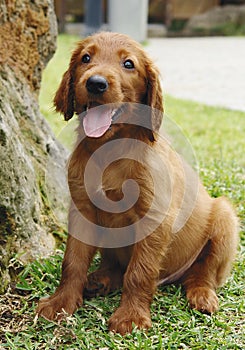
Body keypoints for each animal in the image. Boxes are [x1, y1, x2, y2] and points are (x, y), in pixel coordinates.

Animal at [36, 31, 239, 334]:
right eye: (86, 58)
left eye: (128, 64)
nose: (95, 83)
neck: (109, 148)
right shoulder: (82, 210)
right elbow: (72, 261)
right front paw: (61, 302)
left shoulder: (154, 218)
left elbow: (139, 272)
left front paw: (131, 317)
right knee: (115, 266)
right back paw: (100, 280)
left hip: (224, 218)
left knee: (204, 272)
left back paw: (202, 295)